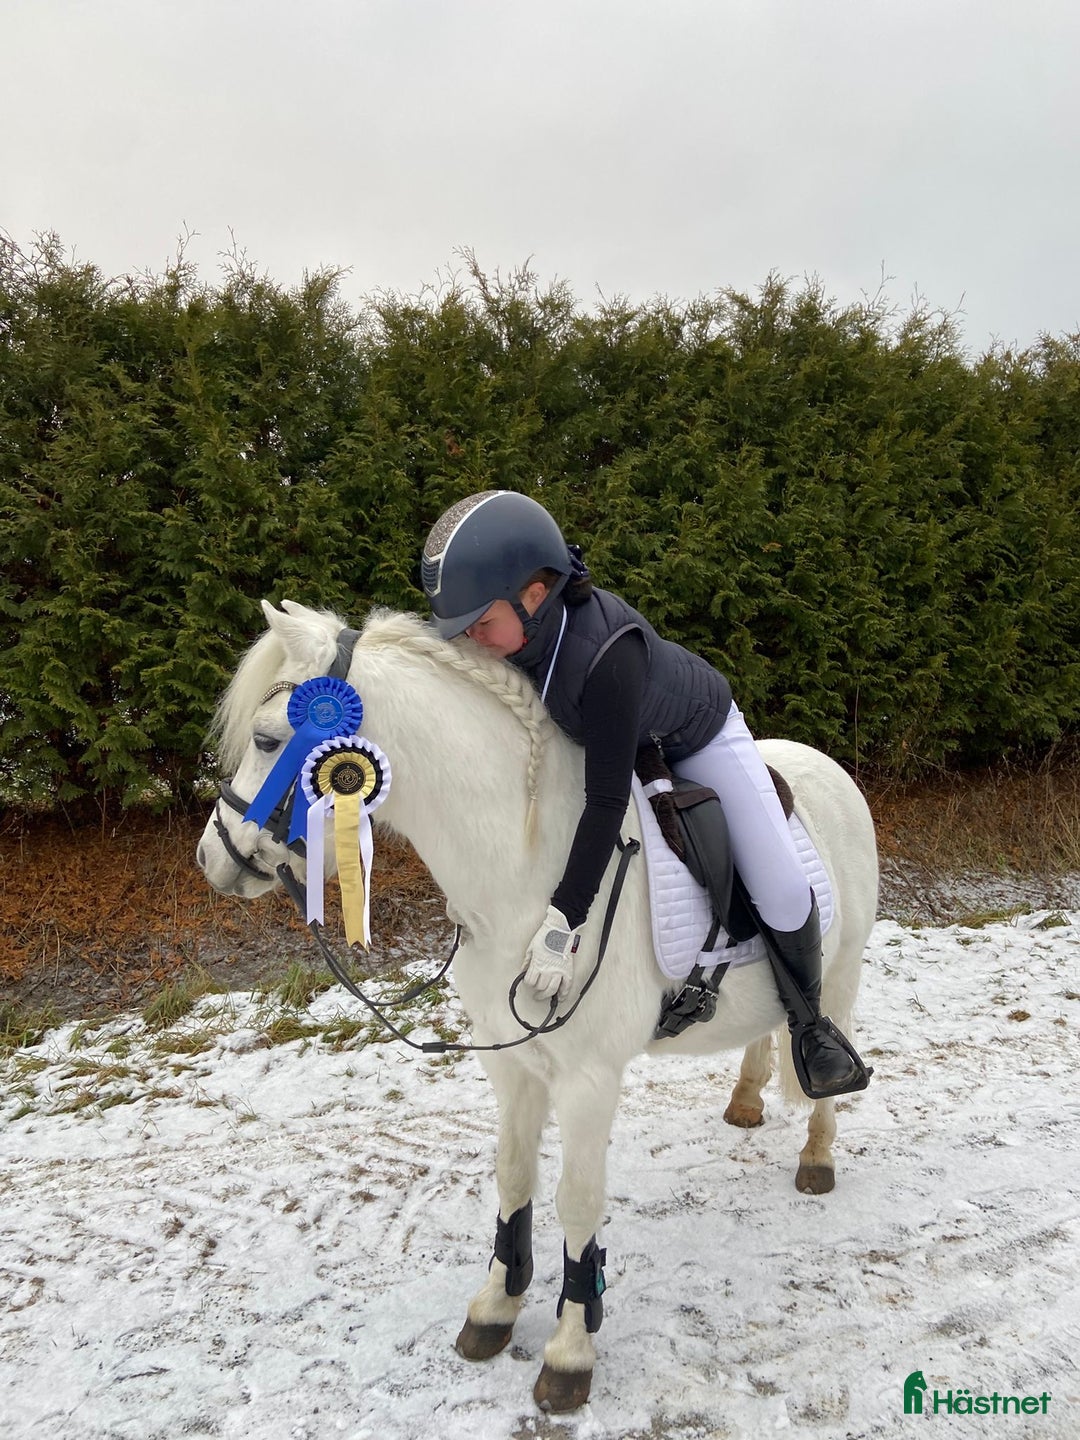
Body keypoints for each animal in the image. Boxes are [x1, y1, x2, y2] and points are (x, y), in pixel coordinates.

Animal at [196, 599, 879, 1414]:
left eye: (270, 739)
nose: (214, 860)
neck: (526, 870)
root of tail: (826, 765)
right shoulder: (513, 1064)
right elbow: (514, 1177)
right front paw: (495, 1308)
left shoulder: (588, 1079)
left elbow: (578, 1201)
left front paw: (570, 1350)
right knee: (767, 1025)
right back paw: (745, 1101)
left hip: (843, 966)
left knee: (818, 1028)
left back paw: (817, 1151)